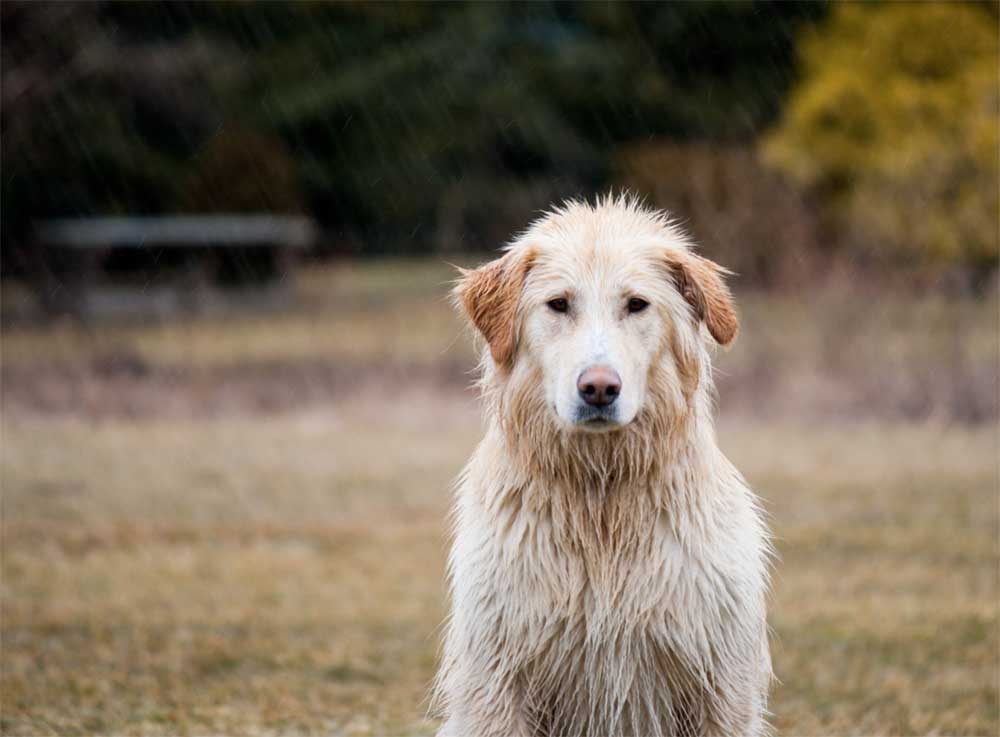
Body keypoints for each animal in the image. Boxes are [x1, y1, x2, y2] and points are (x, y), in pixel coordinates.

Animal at [436, 196, 772, 736]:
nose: (598, 388)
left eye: (636, 304)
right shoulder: (495, 680)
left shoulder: (722, 683)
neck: (603, 496)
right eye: (558, 304)